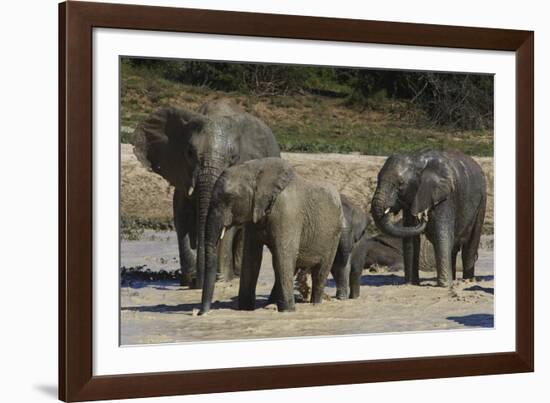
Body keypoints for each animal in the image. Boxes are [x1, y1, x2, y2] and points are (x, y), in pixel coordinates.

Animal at [133, 101, 280, 290]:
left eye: (233, 157)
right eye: (189, 153)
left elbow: (227, 226)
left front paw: (220, 279)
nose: (199, 283)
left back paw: (235, 274)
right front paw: (189, 281)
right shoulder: (181, 175)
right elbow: (182, 219)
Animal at [198, 158, 344, 316]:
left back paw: (314, 304)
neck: (255, 170)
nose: (200, 313)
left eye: (229, 198)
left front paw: (288, 311)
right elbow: (252, 258)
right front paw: (245, 309)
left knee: (320, 271)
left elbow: (283, 256)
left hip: (334, 235)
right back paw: (271, 304)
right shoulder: (254, 215)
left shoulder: (287, 213)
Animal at [370, 151, 488, 288]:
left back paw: (466, 281)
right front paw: (411, 284)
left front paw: (444, 285)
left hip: (482, 200)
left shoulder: (445, 196)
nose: (424, 215)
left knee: (470, 246)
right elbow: (411, 238)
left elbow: (442, 234)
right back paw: (454, 279)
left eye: (400, 183)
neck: (417, 159)